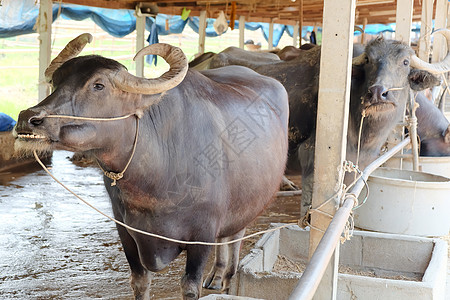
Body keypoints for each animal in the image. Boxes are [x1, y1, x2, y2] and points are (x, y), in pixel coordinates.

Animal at [14, 33, 290, 300]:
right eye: (55, 82)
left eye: (98, 85)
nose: (28, 118)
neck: (155, 183)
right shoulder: (126, 232)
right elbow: (139, 282)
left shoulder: (202, 235)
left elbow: (190, 287)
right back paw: (217, 275)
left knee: (236, 235)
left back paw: (228, 275)